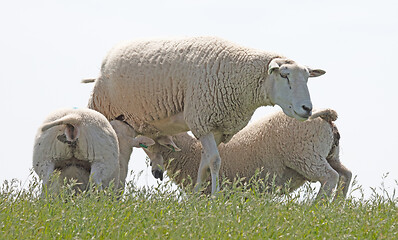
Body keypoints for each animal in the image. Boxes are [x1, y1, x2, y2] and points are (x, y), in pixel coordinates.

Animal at [85, 35, 324, 194]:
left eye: (307, 77)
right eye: (284, 75)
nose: (307, 109)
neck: (238, 75)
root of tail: (112, 53)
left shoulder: (217, 128)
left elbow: (205, 163)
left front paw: (199, 195)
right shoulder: (203, 121)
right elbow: (216, 161)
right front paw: (214, 196)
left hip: (141, 124)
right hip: (105, 110)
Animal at [155, 109, 352, 201]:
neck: (191, 151)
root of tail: (326, 116)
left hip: (306, 156)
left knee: (330, 177)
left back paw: (317, 206)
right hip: (329, 155)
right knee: (346, 174)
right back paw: (337, 206)